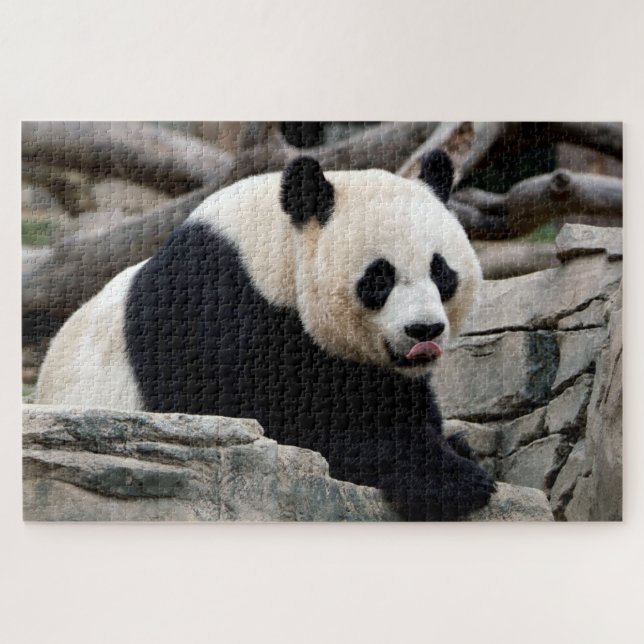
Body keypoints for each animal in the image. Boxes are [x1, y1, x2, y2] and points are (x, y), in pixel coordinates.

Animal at [36, 149, 495, 520]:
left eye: (441, 271)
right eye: (379, 278)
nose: (424, 330)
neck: (275, 250)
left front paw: (454, 445)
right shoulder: (216, 313)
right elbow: (285, 417)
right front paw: (453, 479)